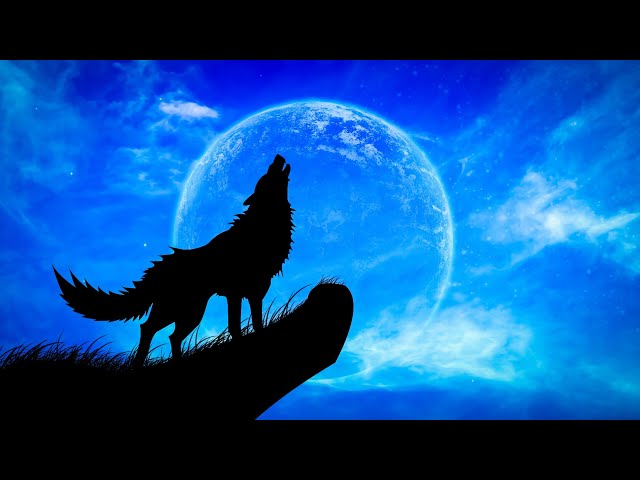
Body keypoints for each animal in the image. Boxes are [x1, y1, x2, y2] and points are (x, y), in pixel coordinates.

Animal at [53, 154, 294, 368]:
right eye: (267, 174)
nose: (278, 156)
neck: (260, 228)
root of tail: (159, 267)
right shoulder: (235, 293)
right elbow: (236, 327)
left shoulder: (255, 291)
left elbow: (256, 323)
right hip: (183, 310)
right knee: (150, 329)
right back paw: (140, 366)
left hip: (188, 313)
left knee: (171, 336)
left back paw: (176, 362)